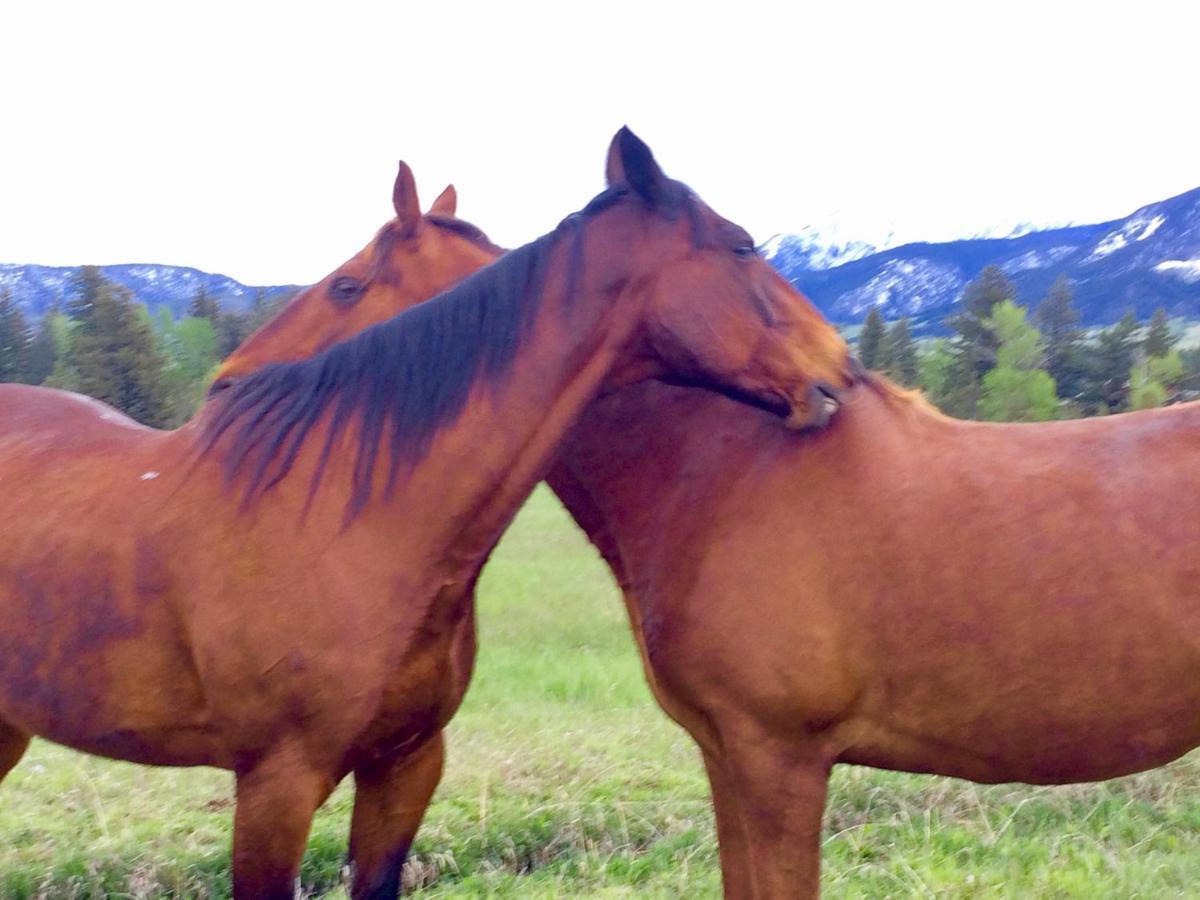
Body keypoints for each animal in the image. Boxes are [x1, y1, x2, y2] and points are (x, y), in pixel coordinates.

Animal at [0, 128, 854, 900]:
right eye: (741, 248)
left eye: (347, 285)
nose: (838, 367)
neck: (358, 522)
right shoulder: (275, 784)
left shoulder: (406, 765)